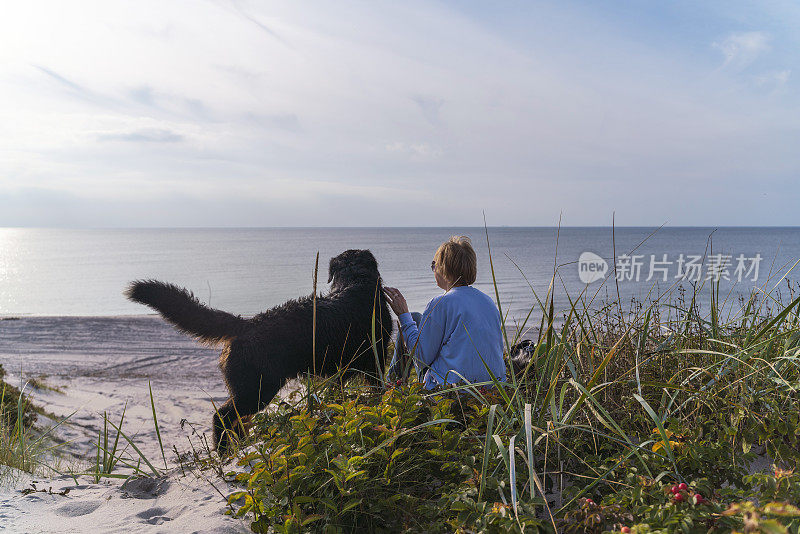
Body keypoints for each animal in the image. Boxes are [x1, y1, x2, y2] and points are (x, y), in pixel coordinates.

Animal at [124, 250, 394, 452]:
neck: (356, 284)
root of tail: (247, 324)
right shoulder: (375, 358)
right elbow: (378, 387)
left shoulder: (343, 371)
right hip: (257, 388)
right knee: (222, 416)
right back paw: (224, 452)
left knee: (238, 422)